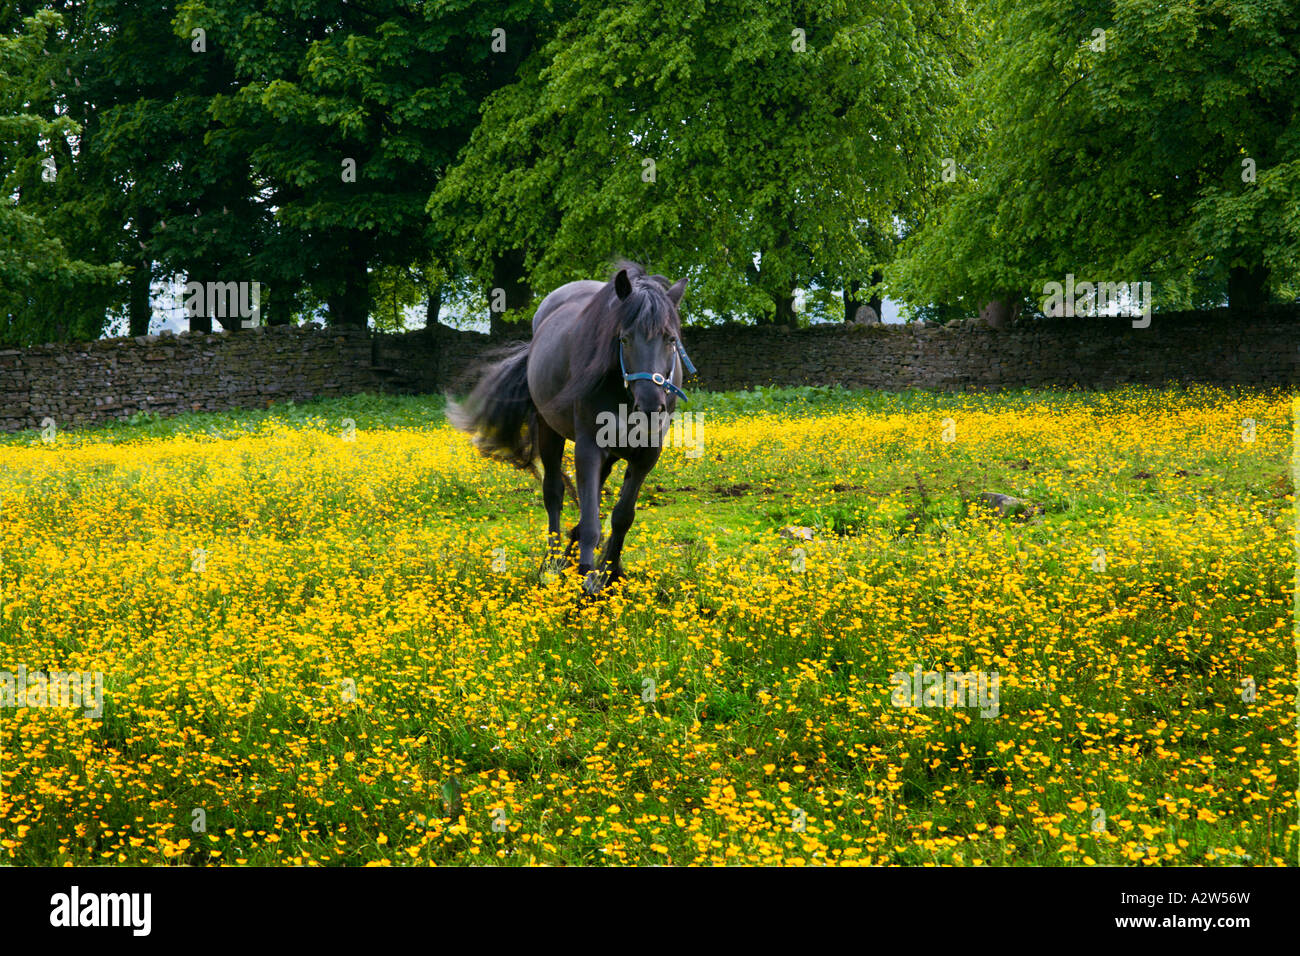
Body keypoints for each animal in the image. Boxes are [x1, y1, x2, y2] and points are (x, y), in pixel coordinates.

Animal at [447, 257, 691, 595]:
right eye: (624, 338)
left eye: (670, 339)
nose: (651, 406)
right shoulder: (589, 446)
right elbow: (590, 521)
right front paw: (587, 580)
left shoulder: (646, 455)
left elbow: (621, 516)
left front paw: (609, 575)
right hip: (550, 432)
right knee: (554, 492)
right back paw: (551, 565)